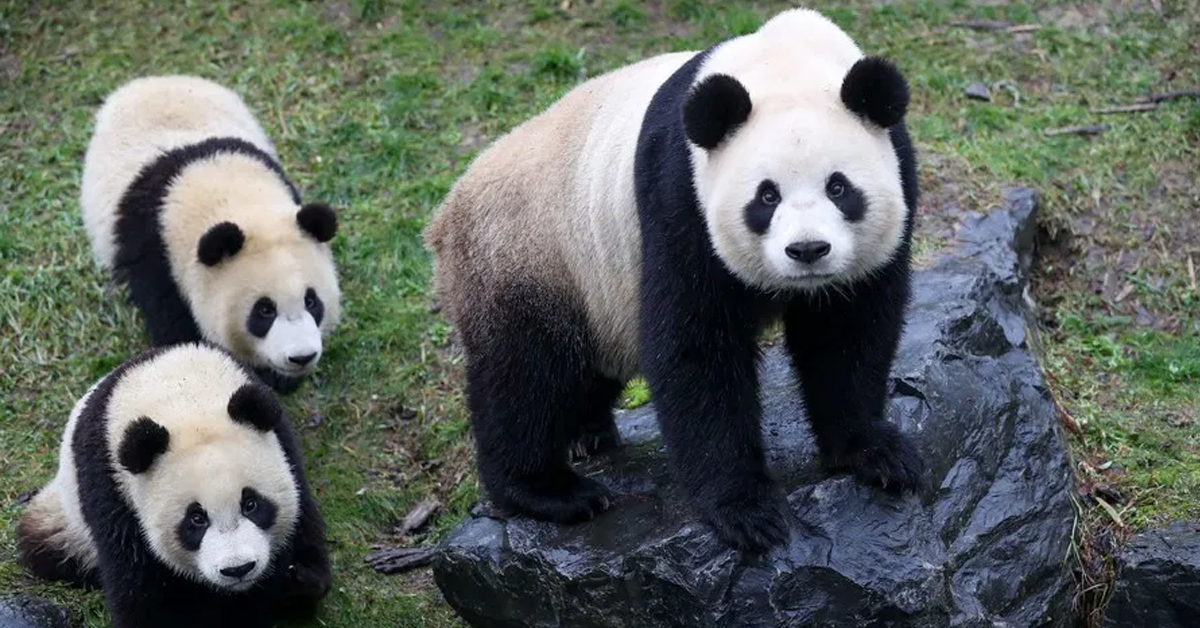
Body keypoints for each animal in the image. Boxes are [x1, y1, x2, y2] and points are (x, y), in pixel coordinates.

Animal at [16, 343, 330, 627]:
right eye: (196, 519)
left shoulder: (284, 444)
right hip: (69, 523)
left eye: (251, 504)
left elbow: (302, 523)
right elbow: (143, 589)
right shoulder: (111, 490)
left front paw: (296, 580)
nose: (238, 568)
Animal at [425, 8, 925, 553]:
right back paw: (548, 489)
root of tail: (446, 215)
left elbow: (847, 331)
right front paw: (746, 509)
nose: (808, 250)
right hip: (526, 254)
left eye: (839, 187)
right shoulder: (678, 192)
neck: (784, 62)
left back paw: (585, 434)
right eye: (766, 196)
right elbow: (695, 344)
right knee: (526, 374)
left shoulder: (897, 165)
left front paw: (874, 453)